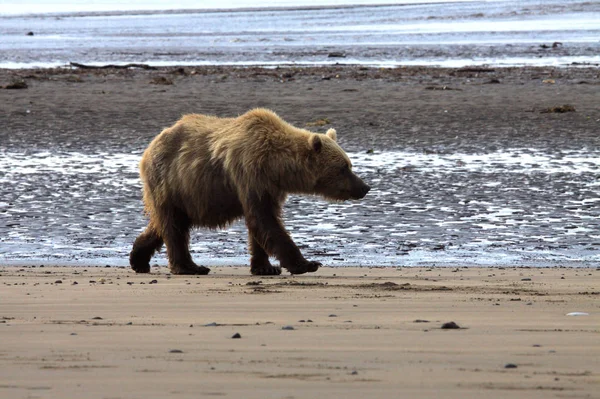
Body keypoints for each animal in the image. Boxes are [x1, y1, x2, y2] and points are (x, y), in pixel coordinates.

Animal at [129, 108, 368, 276]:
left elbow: (259, 223)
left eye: (349, 164)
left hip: (182, 193)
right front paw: (306, 263)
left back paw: (138, 259)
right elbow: (265, 221)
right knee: (174, 227)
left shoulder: (270, 188)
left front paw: (265, 267)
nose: (364, 187)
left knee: (163, 224)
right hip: (170, 181)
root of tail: (150, 146)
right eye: (344, 168)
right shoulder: (250, 174)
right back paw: (190, 267)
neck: (277, 166)